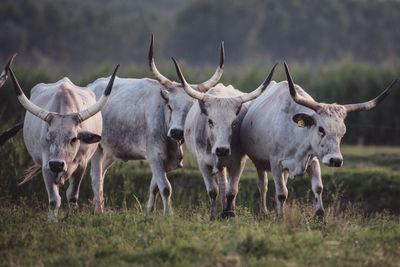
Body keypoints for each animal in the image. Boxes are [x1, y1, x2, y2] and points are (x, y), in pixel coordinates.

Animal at [5, 58, 118, 222]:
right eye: (49, 137)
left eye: (74, 139)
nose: (57, 164)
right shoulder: (46, 165)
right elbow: (54, 199)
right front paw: (52, 220)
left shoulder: (82, 164)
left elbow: (72, 195)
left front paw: (72, 216)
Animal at [88, 35, 225, 216]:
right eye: (170, 106)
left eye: (191, 108)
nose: (176, 132)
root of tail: (90, 86)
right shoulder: (154, 155)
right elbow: (165, 188)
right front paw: (168, 214)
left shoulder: (164, 160)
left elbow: (155, 187)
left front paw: (150, 212)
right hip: (96, 147)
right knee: (96, 176)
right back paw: (99, 211)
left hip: (110, 150)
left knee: (102, 172)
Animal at [170, 56, 276, 220]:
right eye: (210, 121)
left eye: (234, 122)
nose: (222, 150)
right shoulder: (202, 162)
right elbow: (213, 190)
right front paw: (213, 215)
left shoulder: (239, 161)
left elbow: (232, 189)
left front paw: (229, 214)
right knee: (221, 183)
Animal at [239, 62, 396, 220]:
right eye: (321, 129)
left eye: (343, 132)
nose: (336, 160)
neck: (297, 134)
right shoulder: (275, 163)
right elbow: (281, 193)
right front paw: (280, 217)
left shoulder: (312, 159)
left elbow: (318, 187)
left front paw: (320, 216)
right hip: (259, 162)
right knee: (263, 185)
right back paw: (263, 211)